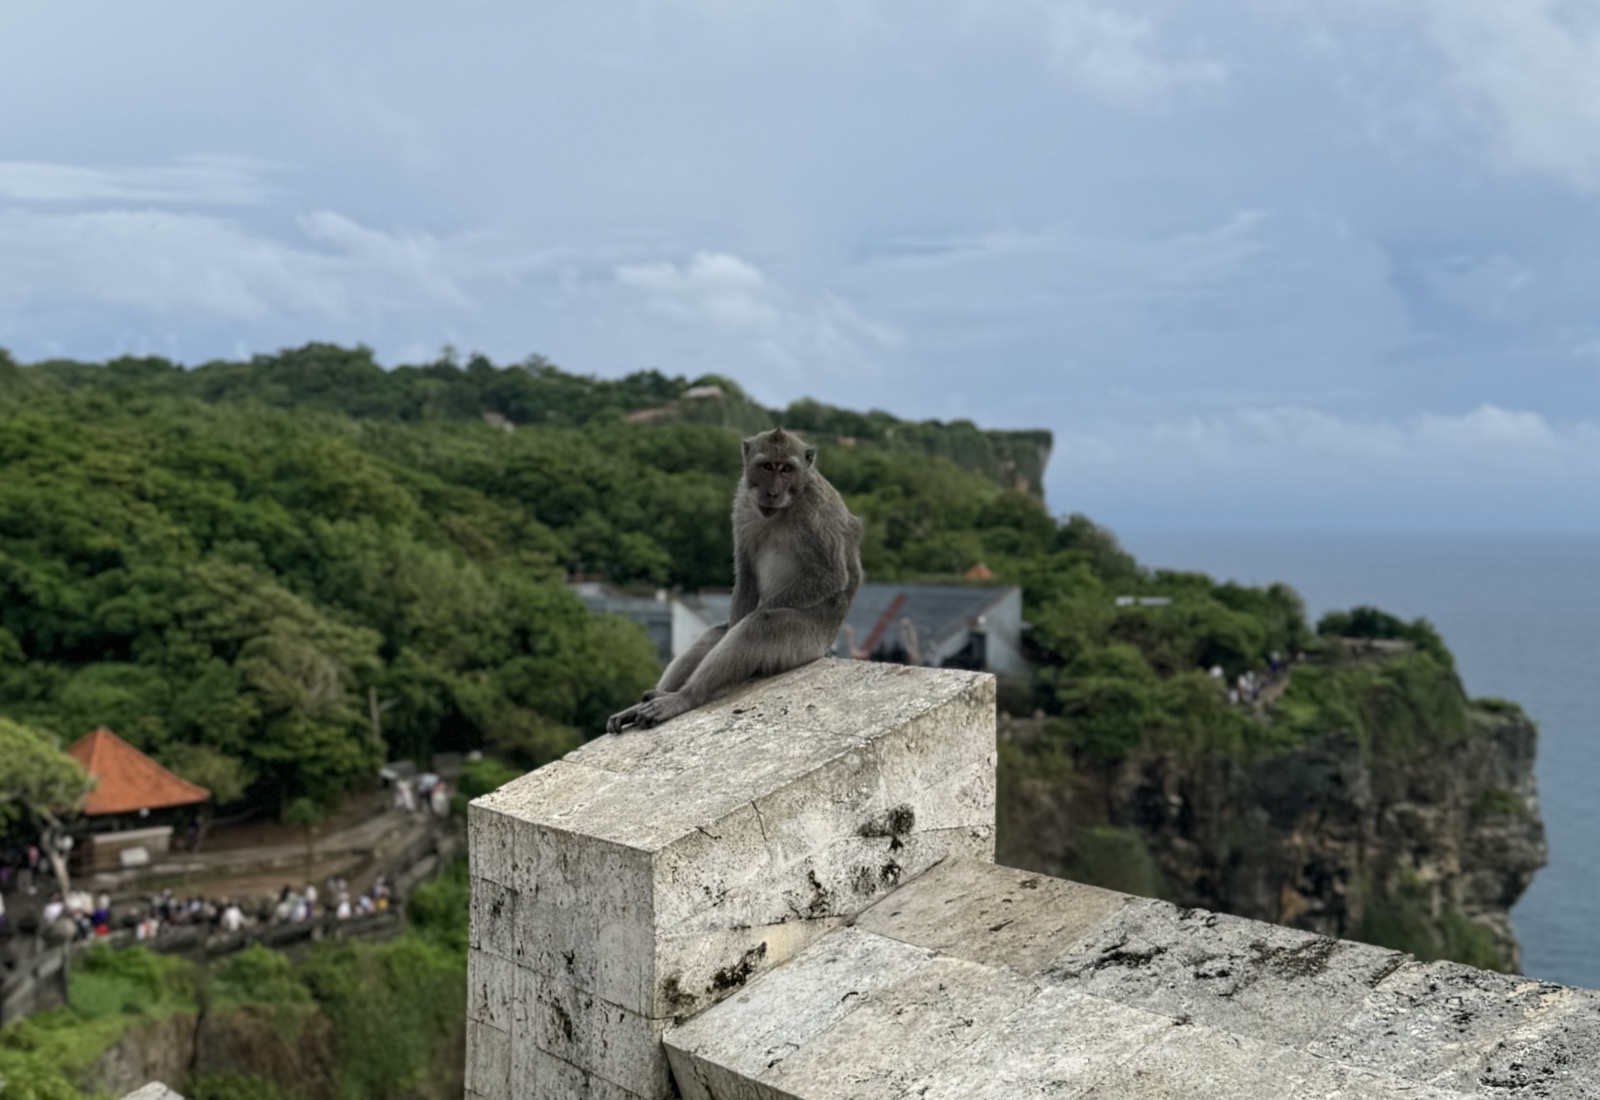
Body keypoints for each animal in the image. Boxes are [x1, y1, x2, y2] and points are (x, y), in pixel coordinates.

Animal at [606, 427, 863, 734]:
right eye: (767, 467)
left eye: (787, 469)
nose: (773, 492)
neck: (790, 502)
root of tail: (826, 647)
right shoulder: (742, 502)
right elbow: (746, 571)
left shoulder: (817, 511)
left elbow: (830, 575)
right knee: (717, 633)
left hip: (805, 643)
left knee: (758, 626)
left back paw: (684, 698)